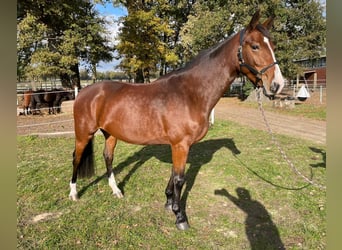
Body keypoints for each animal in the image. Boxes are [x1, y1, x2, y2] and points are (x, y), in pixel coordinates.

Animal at [70, 11, 286, 230]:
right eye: (255, 46)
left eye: (273, 46)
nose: (277, 85)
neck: (190, 93)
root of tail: (85, 92)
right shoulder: (181, 145)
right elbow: (180, 179)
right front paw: (180, 216)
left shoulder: (178, 145)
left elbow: (173, 175)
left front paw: (168, 202)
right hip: (83, 133)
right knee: (76, 158)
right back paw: (74, 193)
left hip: (110, 134)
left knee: (108, 157)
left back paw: (116, 191)